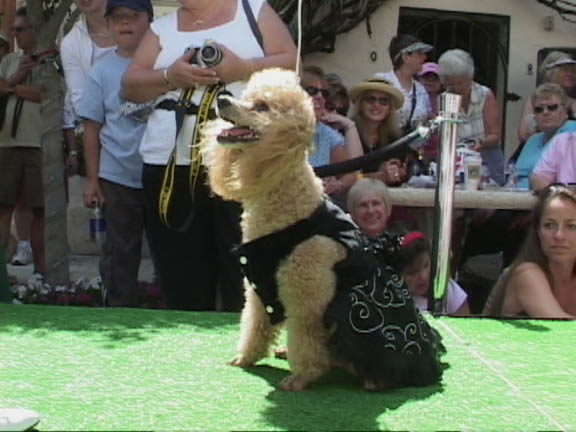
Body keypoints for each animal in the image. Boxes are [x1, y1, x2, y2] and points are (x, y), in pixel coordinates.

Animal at [201, 68, 444, 392]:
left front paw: (302, 377)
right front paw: (246, 358)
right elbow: (256, 324)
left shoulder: (306, 295)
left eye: (263, 107)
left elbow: (305, 337)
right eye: (247, 97)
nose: (223, 98)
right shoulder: (259, 284)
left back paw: (373, 378)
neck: (291, 206)